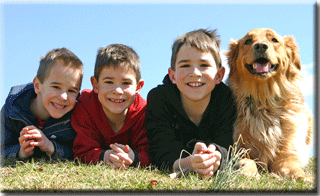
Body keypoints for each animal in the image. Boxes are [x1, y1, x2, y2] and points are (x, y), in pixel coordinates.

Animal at [228, 28, 312, 181]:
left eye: (274, 40)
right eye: (248, 41)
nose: (261, 46)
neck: (264, 98)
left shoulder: (286, 153)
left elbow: (293, 167)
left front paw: (305, 177)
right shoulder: (241, 148)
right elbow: (247, 160)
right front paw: (248, 171)